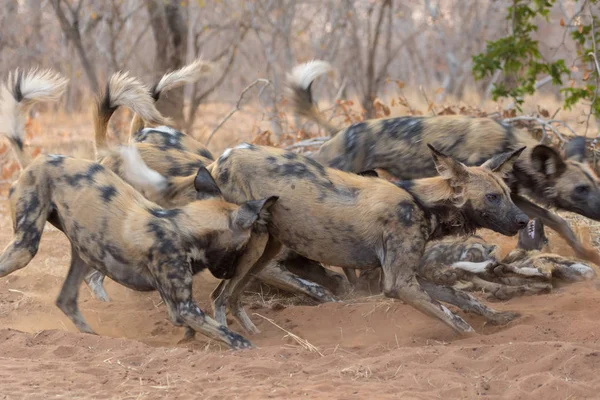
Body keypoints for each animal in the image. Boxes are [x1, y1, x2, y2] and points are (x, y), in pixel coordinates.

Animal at [0, 67, 276, 348]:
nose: (229, 273)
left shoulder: (177, 307)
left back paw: (92, 337)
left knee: (66, 300)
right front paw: (248, 346)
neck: (181, 228)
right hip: (25, 248)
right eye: (242, 246)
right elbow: (229, 335)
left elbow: (188, 327)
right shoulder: (185, 307)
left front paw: (187, 341)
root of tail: (39, 159)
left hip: (83, 253)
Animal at [206, 142, 528, 336]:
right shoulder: (399, 284)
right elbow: (455, 318)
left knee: (229, 296)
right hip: (257, 246)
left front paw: (497, 318)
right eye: (492, 197)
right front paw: (478, 339)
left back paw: (251, 335)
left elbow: (464, 298)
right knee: (220, 297)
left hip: (266, 250)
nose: (524, 220)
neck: (421, 202)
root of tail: (222, 157)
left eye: (509, 195)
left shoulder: (408, 277)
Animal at [284, 60, 600, 266]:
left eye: (594, 184)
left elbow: (558, 222)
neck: (508, 143)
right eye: (581, 189)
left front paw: (587, 254)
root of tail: (341, 132)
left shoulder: (514, 197)